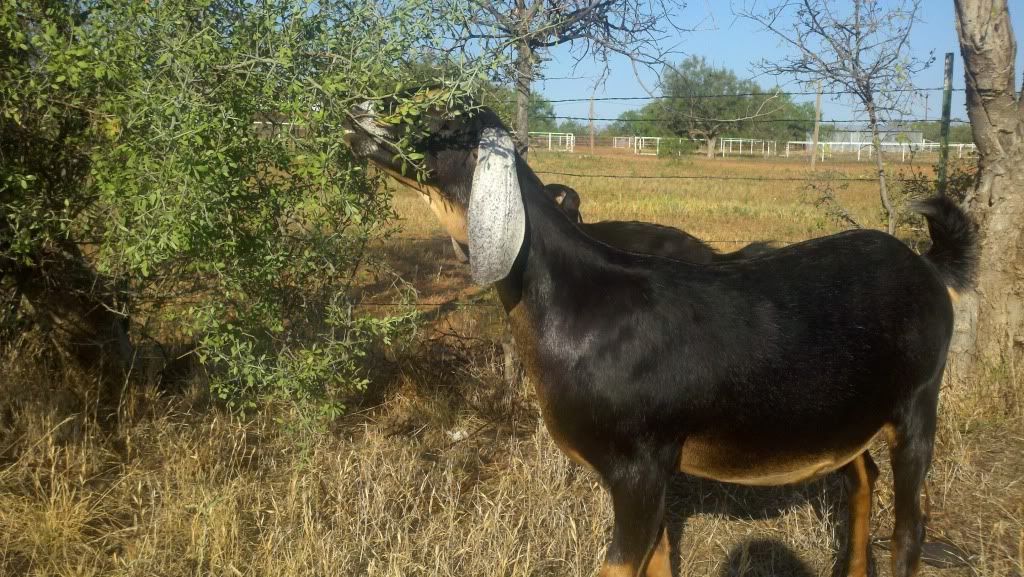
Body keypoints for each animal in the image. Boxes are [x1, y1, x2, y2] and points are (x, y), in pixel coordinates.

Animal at [343, 100, 977, 577]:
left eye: (442, 119)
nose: (357, 114)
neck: (580, 301)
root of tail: (928, 264)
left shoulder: (639, 469)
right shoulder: (653, 477)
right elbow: (658, 563)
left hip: (918, 402)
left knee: (911, 526)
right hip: (842, 412)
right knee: (862, 478)